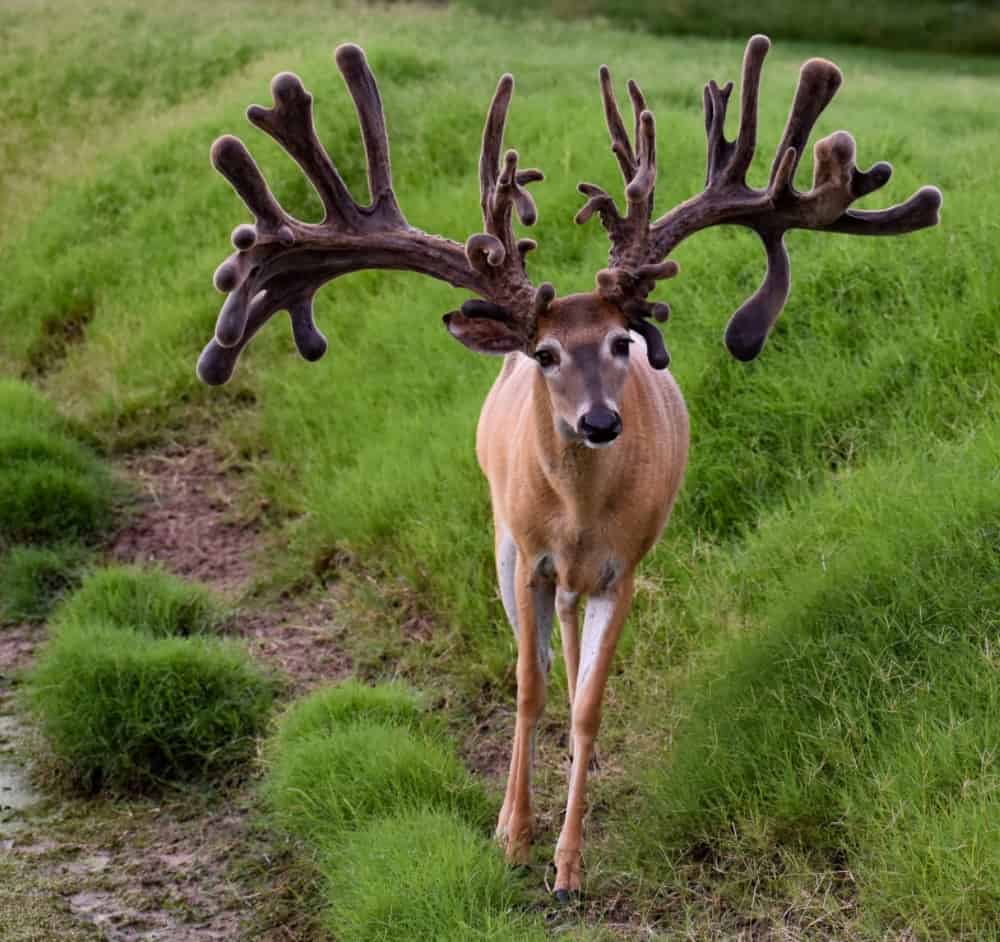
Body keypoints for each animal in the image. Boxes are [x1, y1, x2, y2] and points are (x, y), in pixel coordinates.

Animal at [196, 36, 941, 900]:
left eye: (622, 340)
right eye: (546, 353)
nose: (599, 421)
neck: (581, 515)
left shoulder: (626, 567)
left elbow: (588, 704)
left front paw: (568, 863)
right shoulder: (530, 555)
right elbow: (528, 688)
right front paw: (515, 838)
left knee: (571, 652)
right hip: (500, 541)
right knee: (538, 654)